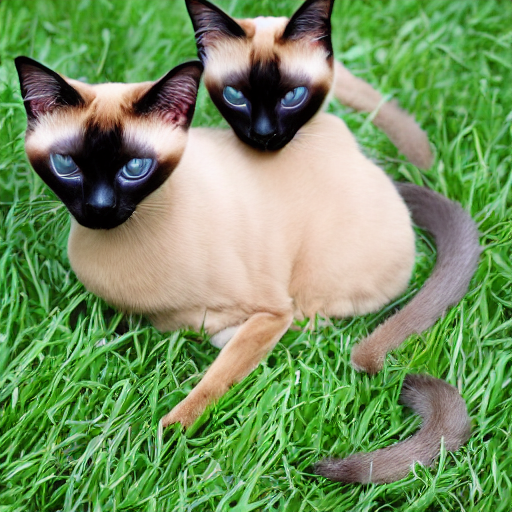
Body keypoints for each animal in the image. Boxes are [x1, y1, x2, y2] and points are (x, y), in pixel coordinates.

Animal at [15, 56, 471, 483]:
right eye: (66, 165)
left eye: (134, 169)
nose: (100, 208)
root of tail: (368, 162)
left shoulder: (270, 312)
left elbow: (211, 385)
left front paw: (162, 438)